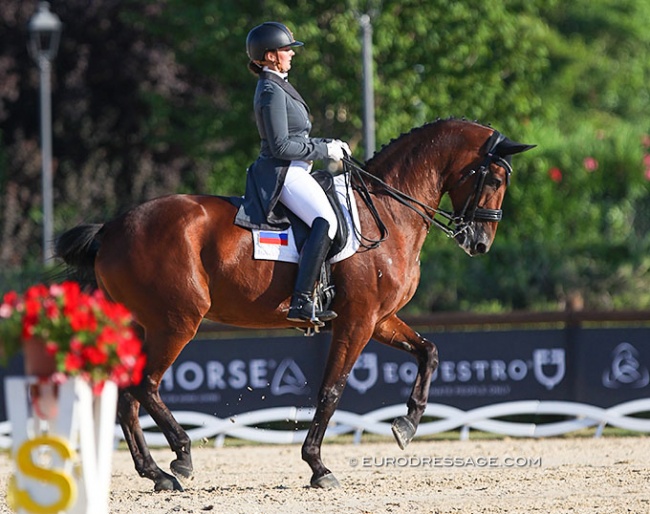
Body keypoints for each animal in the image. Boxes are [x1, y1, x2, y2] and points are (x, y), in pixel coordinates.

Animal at [54, 118, 532, 490]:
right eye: (494, 180)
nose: (479, 242)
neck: (387, 212)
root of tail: (113, 228)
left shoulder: (380, 319)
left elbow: (428, 352)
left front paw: (407, 424)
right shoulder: (357, 322)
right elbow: (332, 389)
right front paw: (319, 466)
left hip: (142, 326)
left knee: (128, 397)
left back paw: (156, 473)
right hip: (175, 323)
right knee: (145, 386)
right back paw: (181, 456)